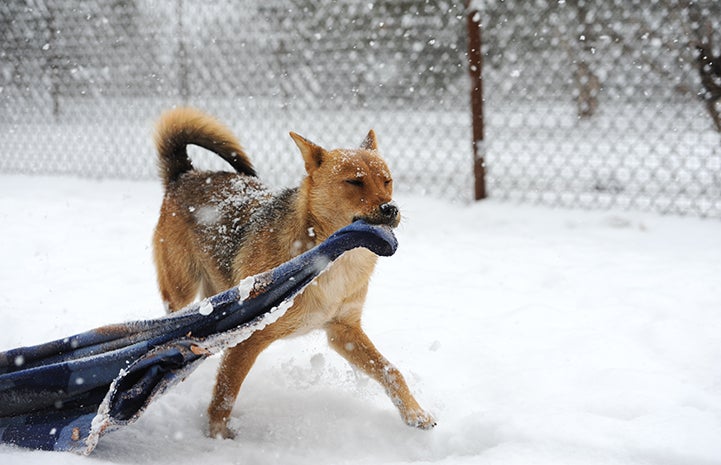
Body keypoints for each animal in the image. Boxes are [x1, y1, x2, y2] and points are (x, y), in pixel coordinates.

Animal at [151, 107, 434, 436]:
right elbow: (225, 393)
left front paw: (415, 413)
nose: (391, 209)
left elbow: (390, 371)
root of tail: (186, 174)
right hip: (181, 290)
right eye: (355, 182)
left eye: (387, 181)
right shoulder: (250, 336)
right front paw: (217, 437)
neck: (332, 258)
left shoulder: (344, 330)